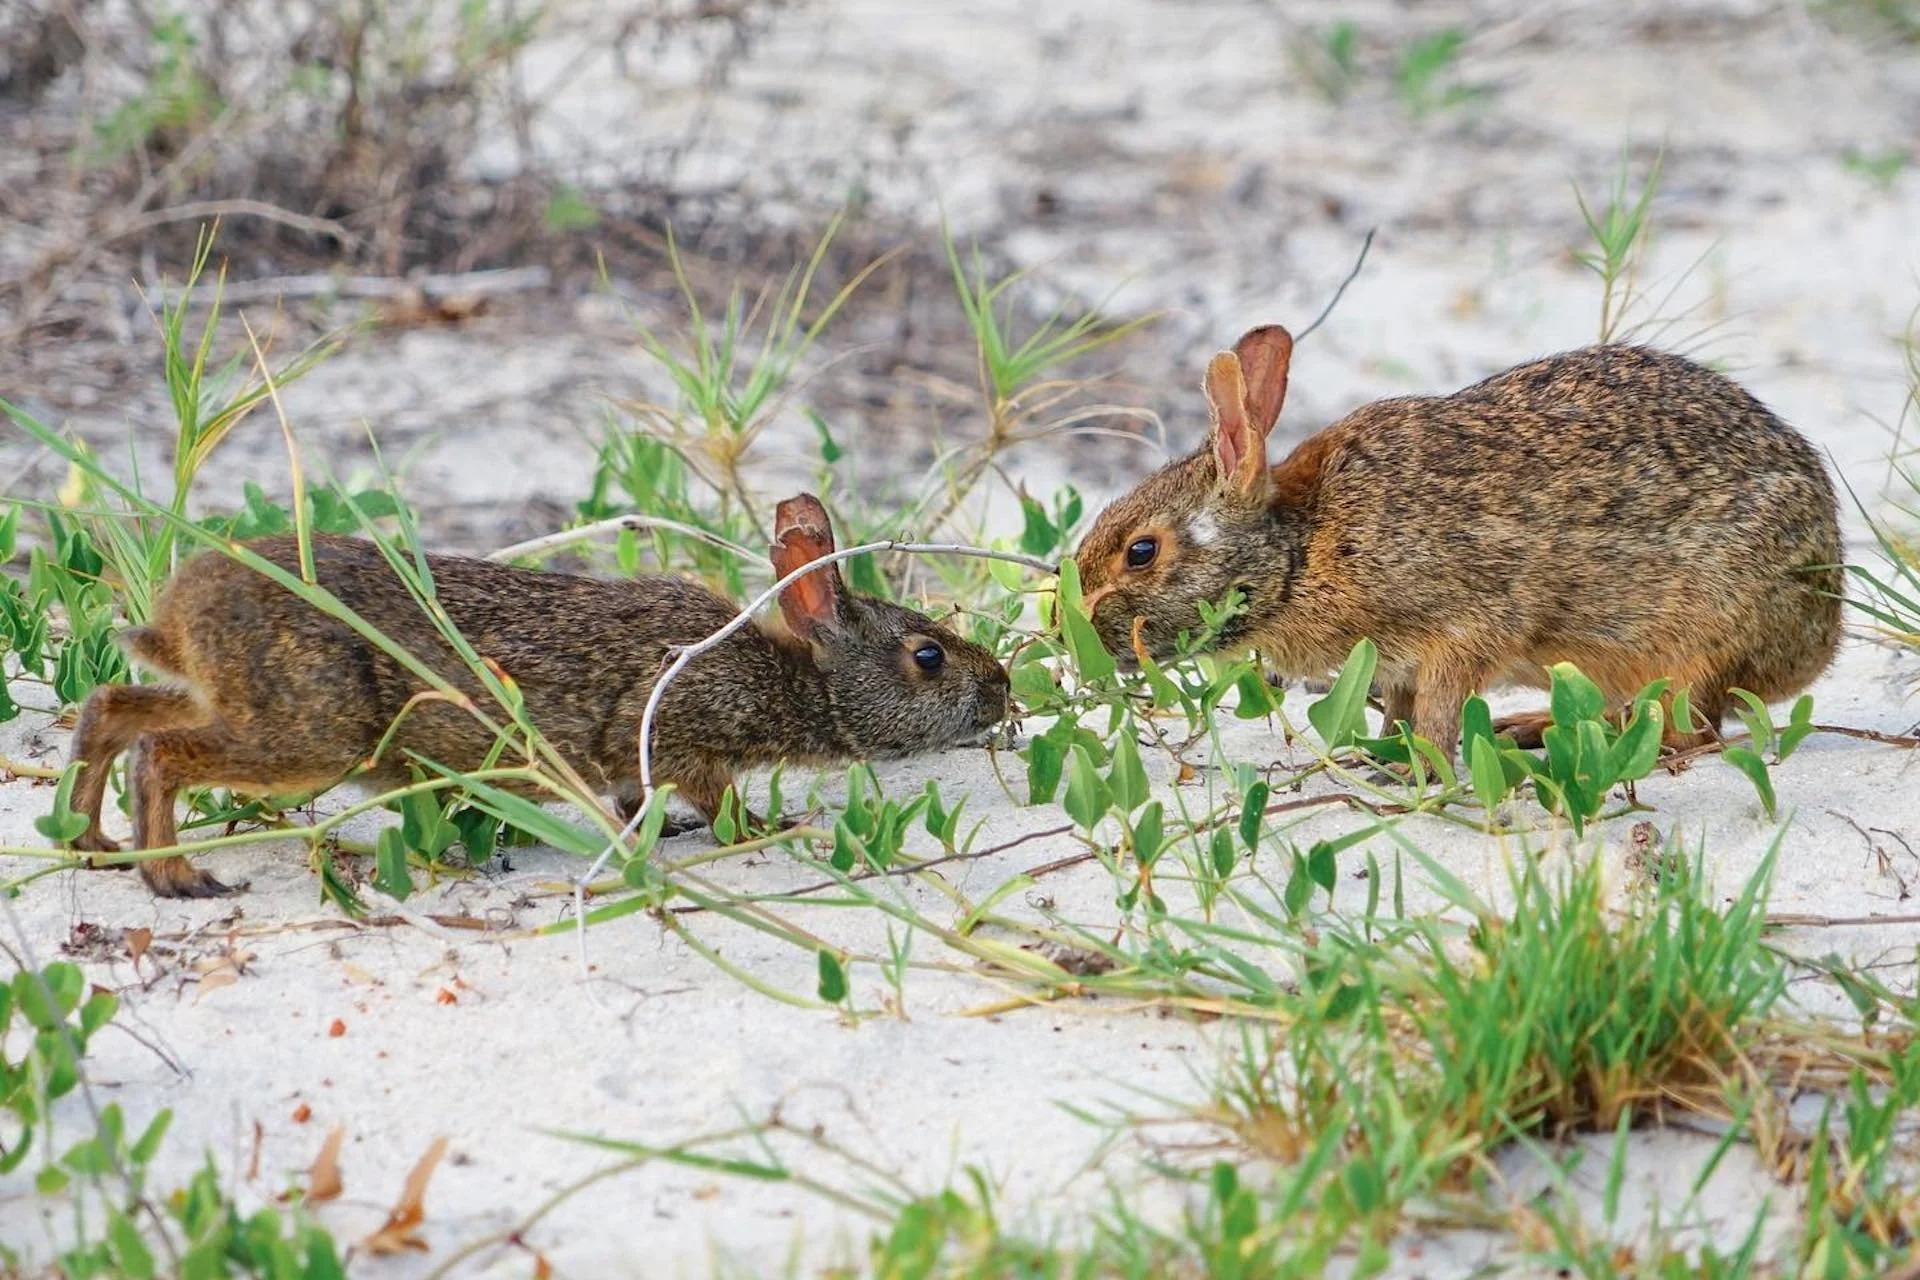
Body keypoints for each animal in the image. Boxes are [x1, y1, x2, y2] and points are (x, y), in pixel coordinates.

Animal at [65, 494, 1011, 899]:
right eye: (928, 657)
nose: (1002, 690)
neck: (788, 676)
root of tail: (181, 614)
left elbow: (635, 803)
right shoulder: (686, 738)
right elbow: (716, 804)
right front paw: (764, 830)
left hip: (237, 704)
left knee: (112, 707)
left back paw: (92, 841)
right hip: (310, 736)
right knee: (161, 754)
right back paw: (174, 878)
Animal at [1072, 324, 1842, 757]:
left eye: (1141, 552)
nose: (1074, 631)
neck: (1301, 551)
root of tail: (1820, 638)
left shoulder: (1464, 629)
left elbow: (1441, 712)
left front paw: (1420, 767)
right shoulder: (1394, 665)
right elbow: (1400, 711)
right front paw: (1382, 754)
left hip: (1702, 640)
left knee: (1687, 731)